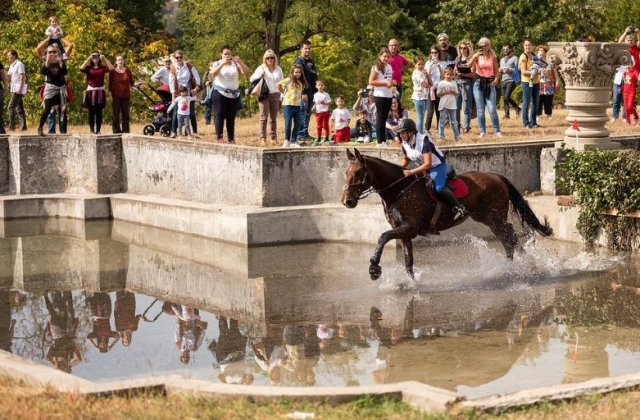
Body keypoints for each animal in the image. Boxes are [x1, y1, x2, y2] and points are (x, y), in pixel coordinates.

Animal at [341, 148, 553, 280]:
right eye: (345, 172)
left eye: (358, 173)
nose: (347, 201)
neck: (398, 189)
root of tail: (497, 176)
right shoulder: (405, 231)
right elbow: (408, 259)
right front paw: (409, 283)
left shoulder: (410, 227)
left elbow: (382, 237)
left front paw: (374, 268)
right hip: (486, 218)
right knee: (506, 237)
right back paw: (512, 266)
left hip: (496, 216)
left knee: (509, 235)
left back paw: (519, 265)